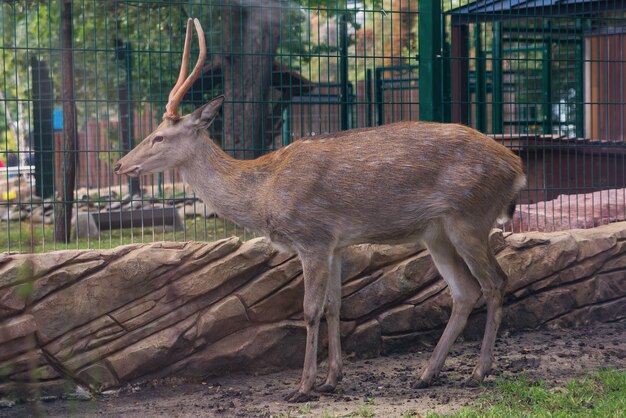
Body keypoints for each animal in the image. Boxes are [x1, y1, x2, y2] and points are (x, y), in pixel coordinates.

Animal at [114, 18, 524, 402]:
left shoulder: (311, 237)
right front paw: (332, 380)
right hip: (436, 232)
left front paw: (304, 385)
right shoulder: (336, 244)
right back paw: (426, 374)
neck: (263, 194)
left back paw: (479, 371)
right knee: (464, 291)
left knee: (495, 281)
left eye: (159, 136)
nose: (119, 165)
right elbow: (334, 306)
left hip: (469, 217)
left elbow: (309, 310)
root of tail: (516, 169)